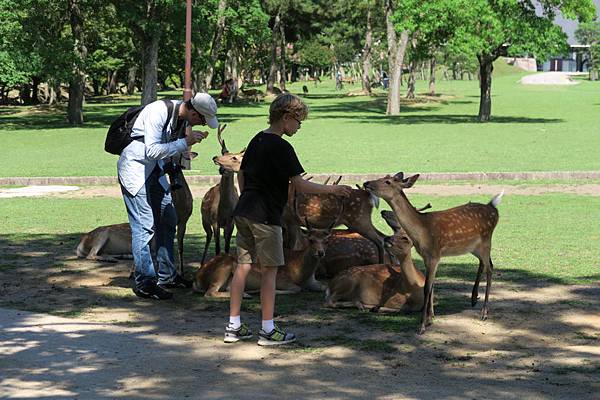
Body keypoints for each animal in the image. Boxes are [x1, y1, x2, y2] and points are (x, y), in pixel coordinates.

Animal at [202, 125, 239, 266]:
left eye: (233, 160)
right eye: (223, 156)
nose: (221, 169)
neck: (224, 209)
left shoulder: (231, 222)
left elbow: (227, 247)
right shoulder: (214, 221)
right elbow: (217, 248)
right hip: (204, 220)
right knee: (208, 238)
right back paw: (202, 263)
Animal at [364, 173, 504, 334]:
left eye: (387, 181)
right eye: (382, 177)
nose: (366, 183)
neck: (422, 232)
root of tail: (493, 208)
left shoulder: (434, 255)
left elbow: (426, 288)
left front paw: (422, 325)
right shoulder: (426, 257)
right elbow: (430, 285)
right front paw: (430, 319)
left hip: (486, 241)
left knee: (490, 268)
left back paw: (484, 313)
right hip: (473, 247)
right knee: (485, 263)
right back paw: (474, 299)